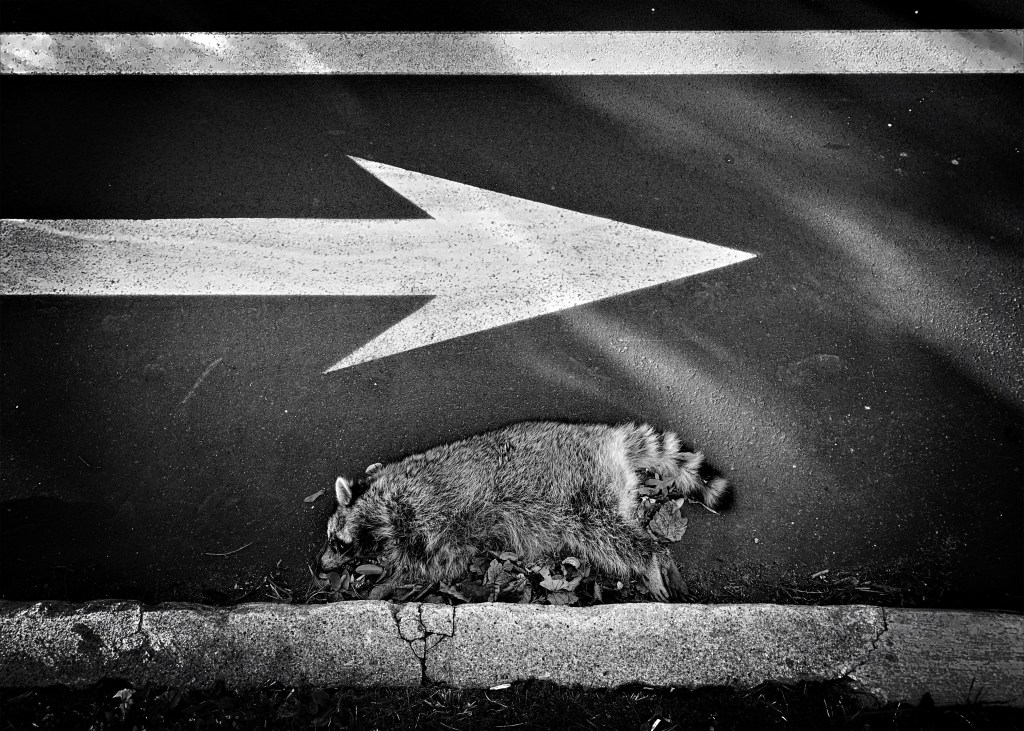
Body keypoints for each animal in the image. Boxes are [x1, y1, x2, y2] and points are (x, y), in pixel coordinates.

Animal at [319, 421, 729, 601]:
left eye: (335, 540)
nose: (321, 566)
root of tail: (607, 436)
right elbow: (442, 564)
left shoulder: (419, 504)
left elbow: (430, 560)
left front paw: (385, 582)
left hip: (583, 490)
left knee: (613, 538)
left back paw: (653, 559)